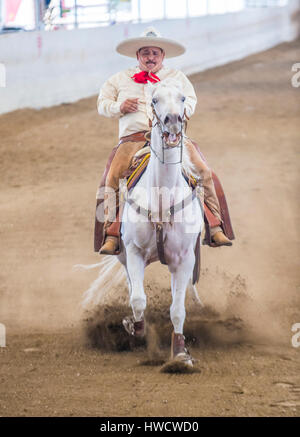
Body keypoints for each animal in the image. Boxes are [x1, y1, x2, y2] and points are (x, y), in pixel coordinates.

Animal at [115, 79, 204, 364]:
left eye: (183, 97)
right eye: (154, 100)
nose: (173, 121)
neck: (162, 201)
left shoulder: (185, 259)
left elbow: (177, 309)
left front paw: (180, 354)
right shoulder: (134, 251)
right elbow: (138, 299)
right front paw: (136, 329)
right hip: (122, 255)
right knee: (132, 286)